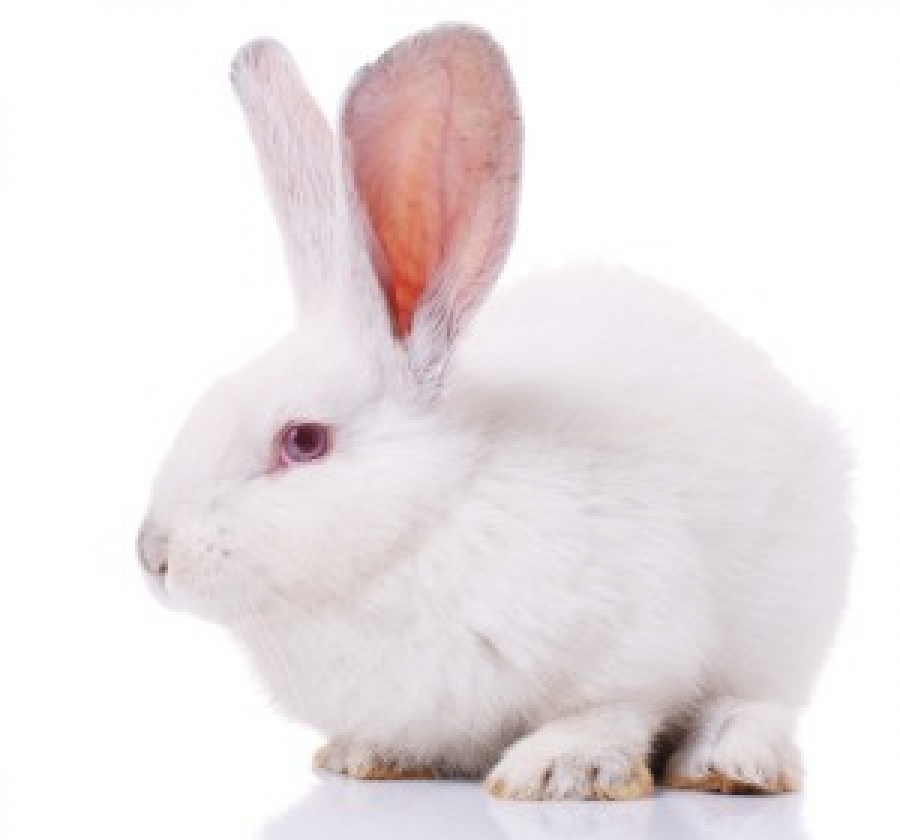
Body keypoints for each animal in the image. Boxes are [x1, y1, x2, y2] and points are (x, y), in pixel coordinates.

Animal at [137, 23, 852, 801]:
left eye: (302, 440)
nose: (153, 555)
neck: (428, 523)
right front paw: (366, 757)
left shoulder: (642, 640)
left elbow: (615, 707)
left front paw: (562, 770)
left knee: (754, 699)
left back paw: (730, 763)